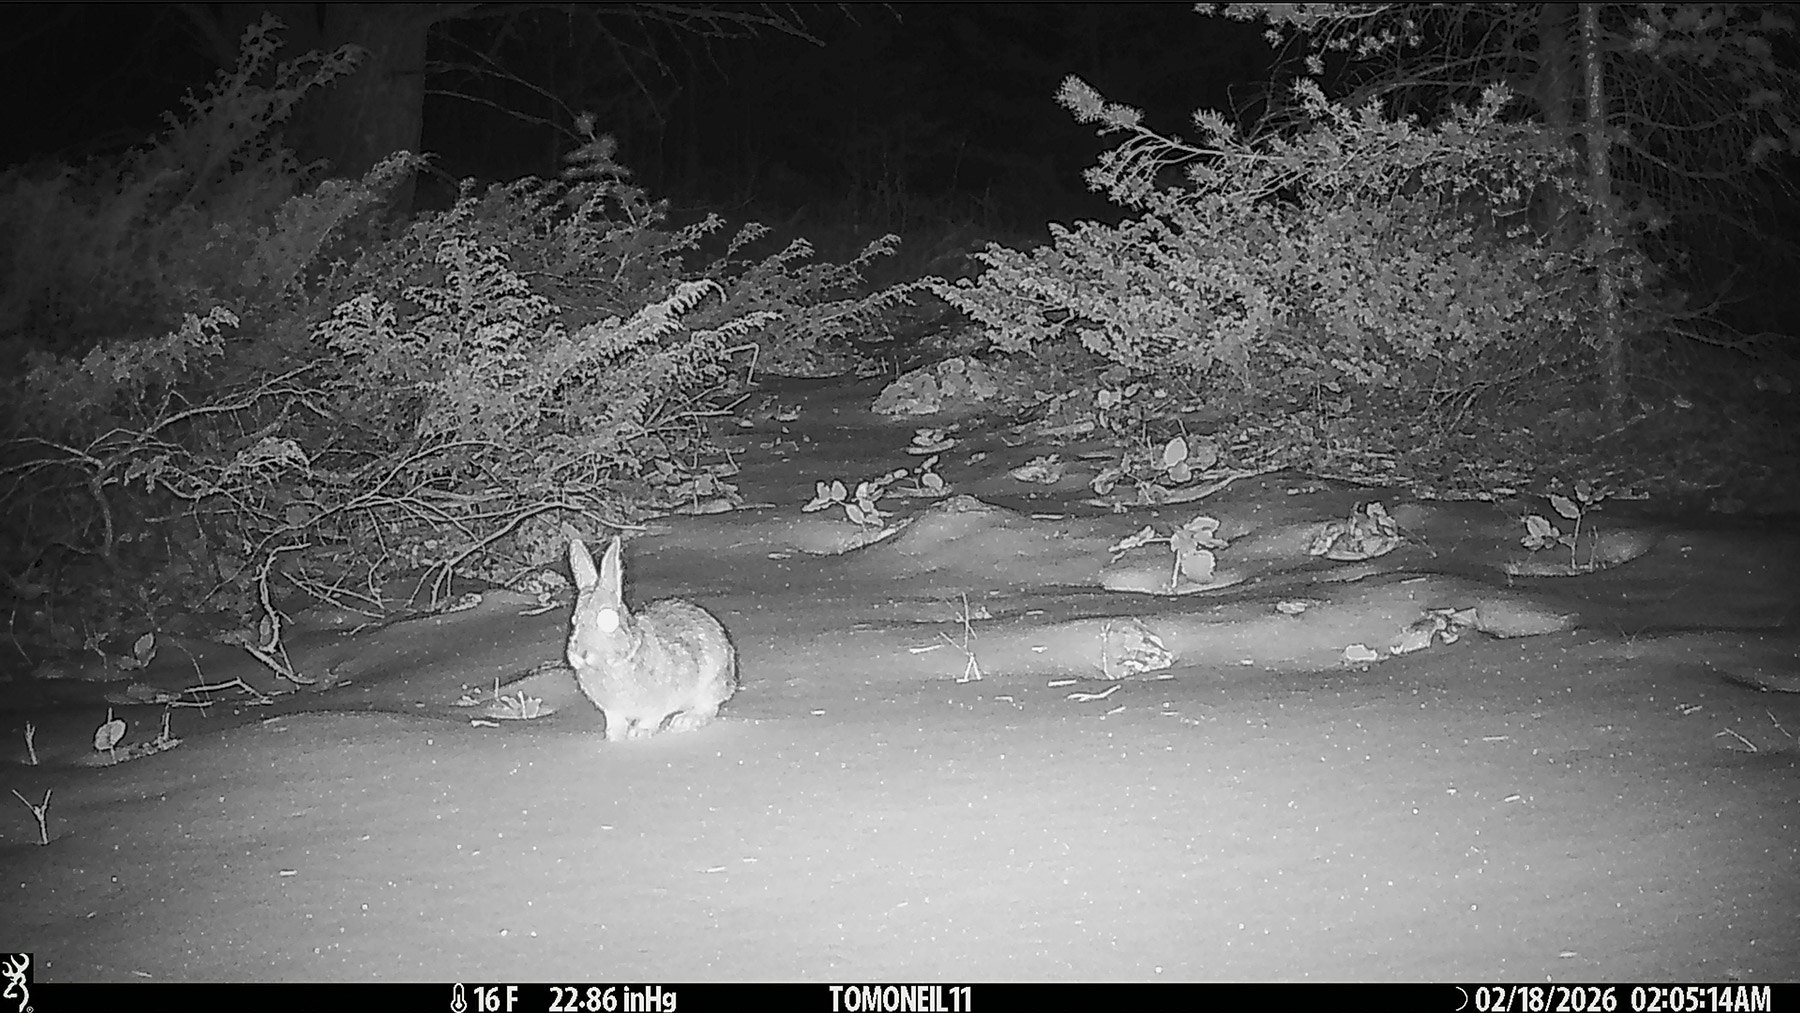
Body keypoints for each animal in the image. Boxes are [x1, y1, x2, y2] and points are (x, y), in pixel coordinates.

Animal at [565, 536, 738, 742]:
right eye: (574, 620)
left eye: (609, 621)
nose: (580, 653)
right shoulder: (613, 711)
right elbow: (616, 722)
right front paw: (613, 738)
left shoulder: (658, 703)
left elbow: (651, 718)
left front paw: (639, 733)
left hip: (710, 683)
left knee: (708, 707)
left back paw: (686, 721)